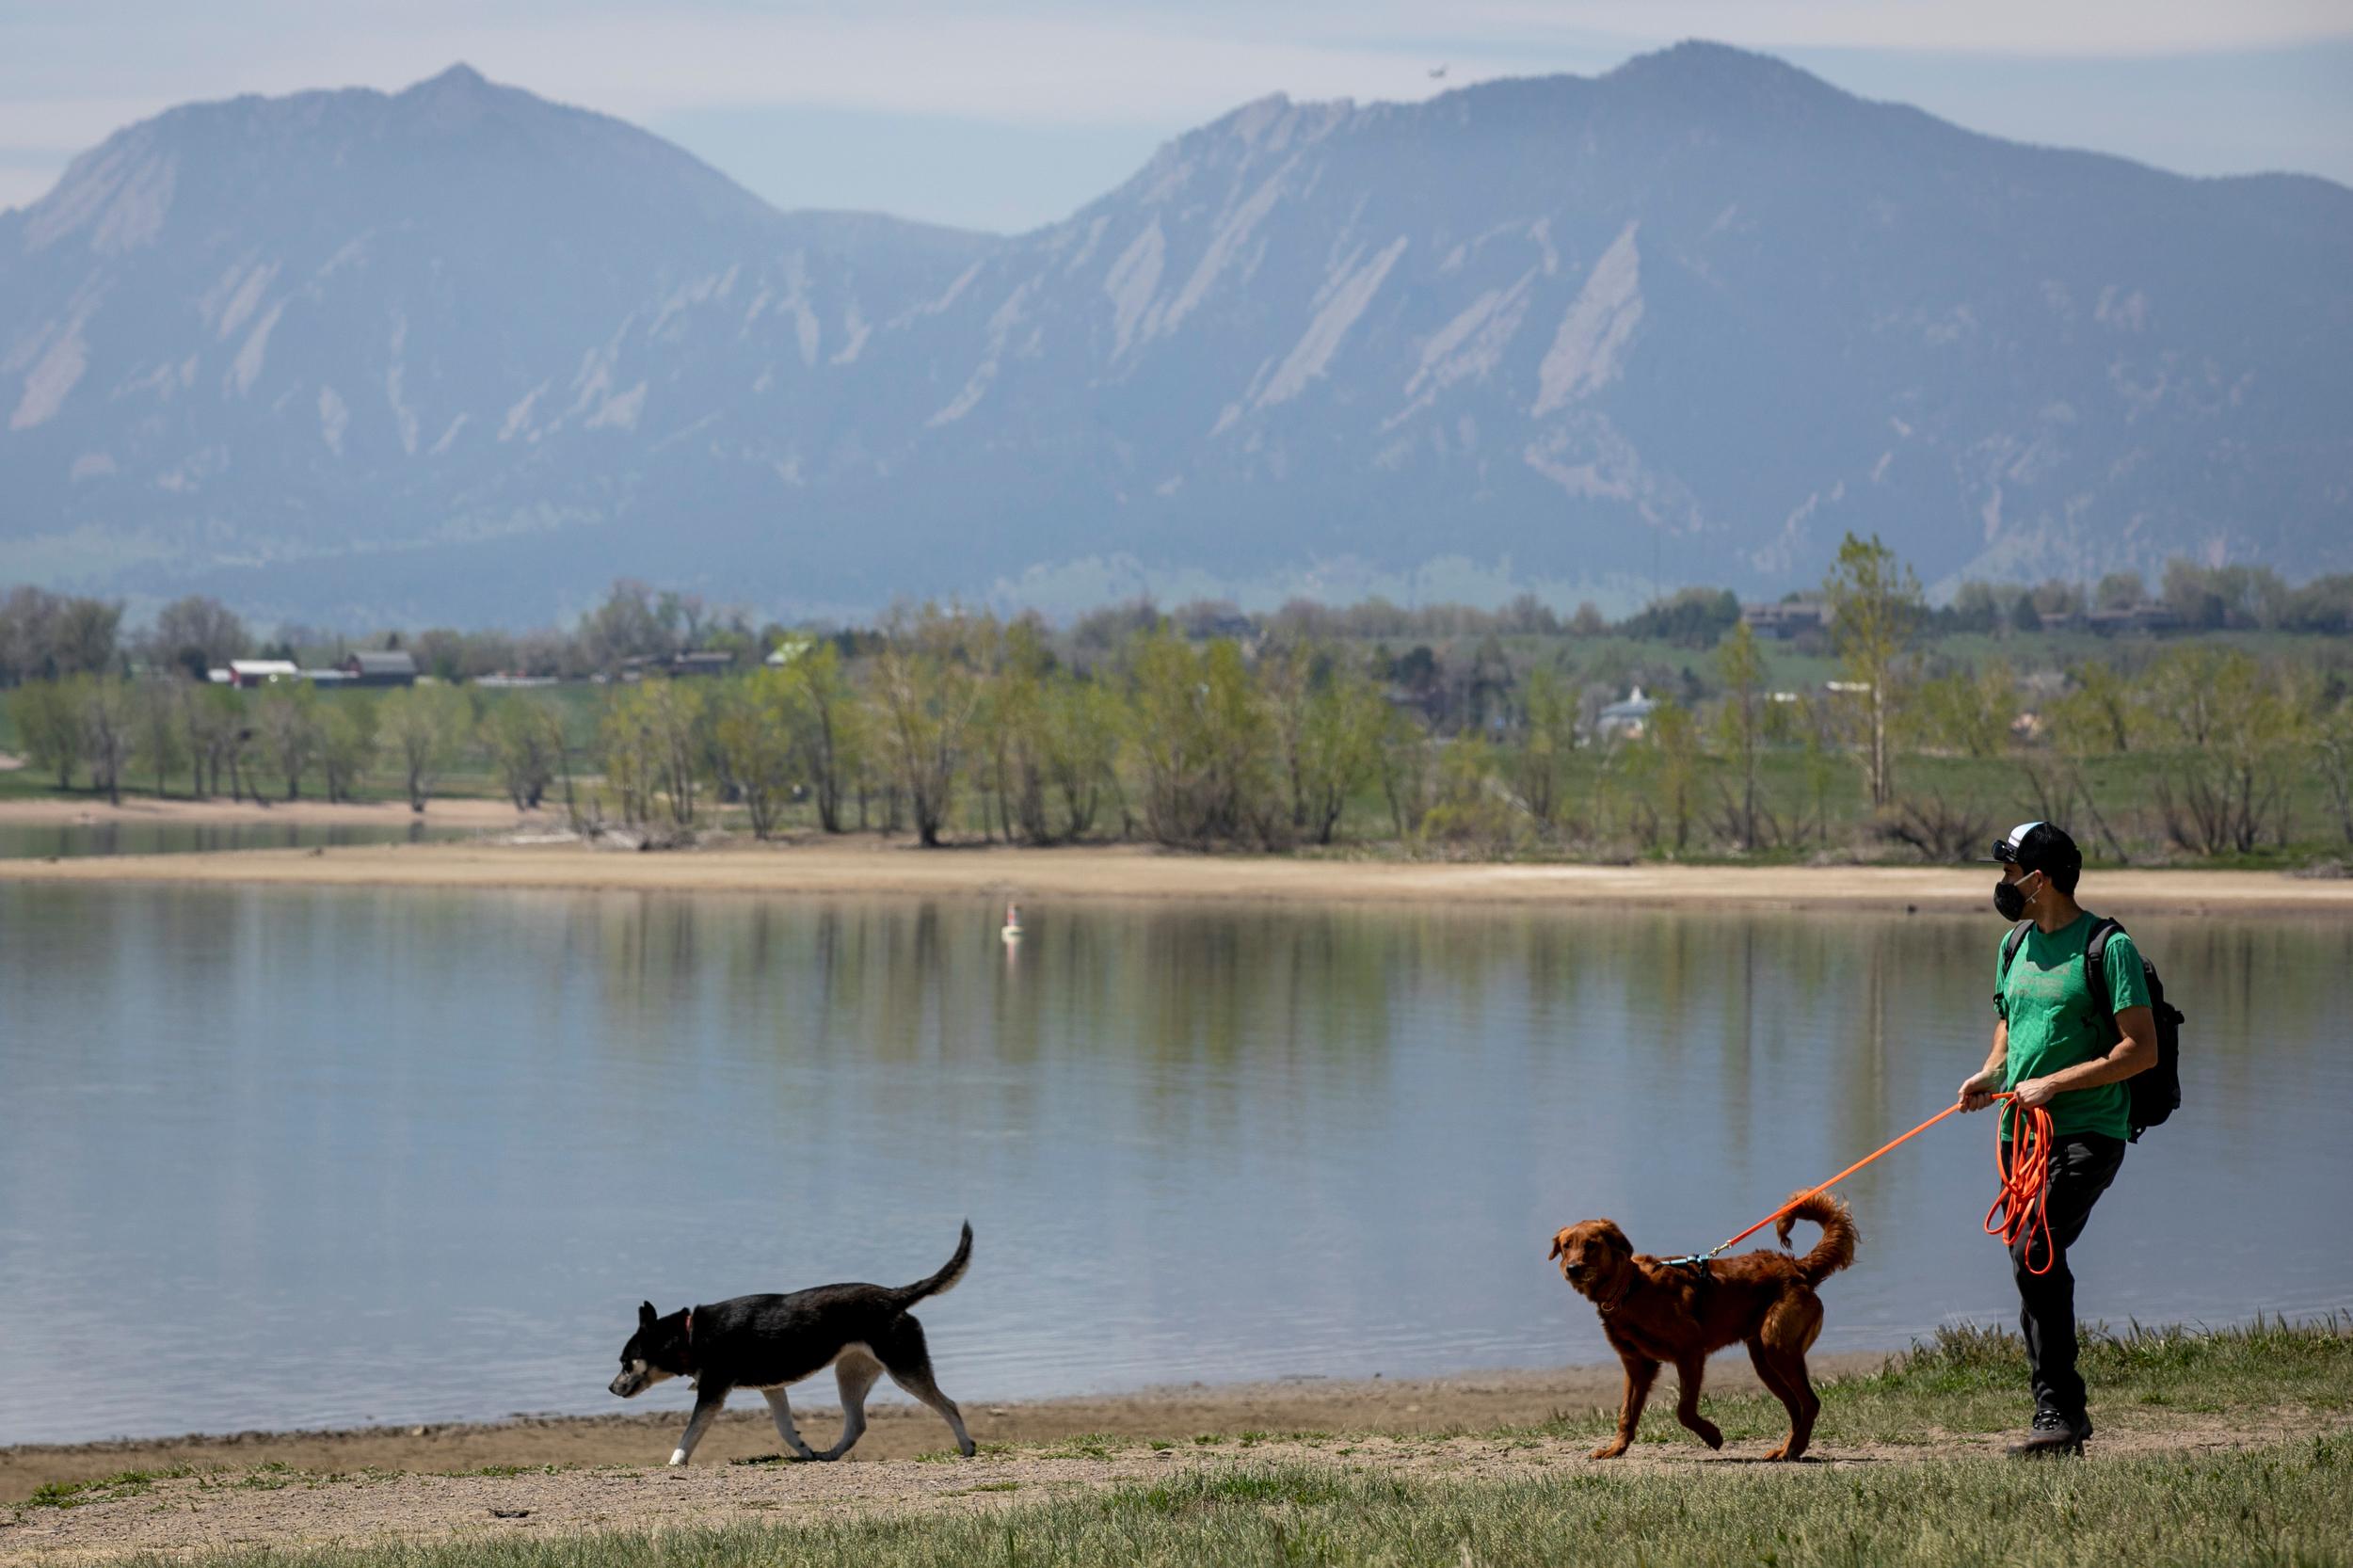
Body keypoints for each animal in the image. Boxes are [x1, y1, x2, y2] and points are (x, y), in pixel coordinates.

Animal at [612, 1214, 979, 1459]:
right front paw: (804, 1450)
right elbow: (786, 1428)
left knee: (948, 1404)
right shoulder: (773, 1389)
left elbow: (688, 1437)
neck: (690, 1334)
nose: (611, 1389)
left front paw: (675, 1463)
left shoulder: (712, 1393)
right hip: (851, 1374)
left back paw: (966, 1446)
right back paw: (829, 1456)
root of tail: (894, 1296)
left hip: (903, 1368)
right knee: (857, 1424)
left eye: (627, 1363)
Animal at [1544, 1191, 1854, 1459]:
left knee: (1810, 1402)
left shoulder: (1690, 1351)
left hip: (1777, 1346)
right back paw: (1787, 1449)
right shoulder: (1637, 1364)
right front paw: (1615, 1449)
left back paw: (1793, 1448)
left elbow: (1684, 1409)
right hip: (1764, 1360)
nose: (1572, 1269)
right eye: (1566, 1246)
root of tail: (1798, 1267)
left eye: (1591, 1245)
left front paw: (1712, 1435)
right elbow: (1626, 1413)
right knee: (1796, 1406)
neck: (1629, 1289)